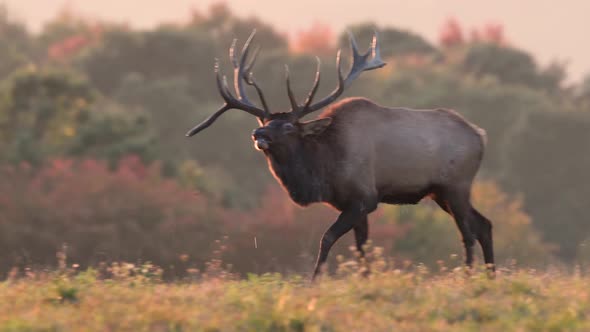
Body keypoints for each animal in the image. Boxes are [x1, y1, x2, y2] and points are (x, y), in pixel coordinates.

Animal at [186, 30, 494, 278]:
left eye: (288, 126)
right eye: (263, 121)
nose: (258, 135)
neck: (324, 171)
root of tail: (480, 135)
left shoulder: (364, 198)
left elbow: (328, 238)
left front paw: (314, 282)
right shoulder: (354, 203)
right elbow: (362, 247)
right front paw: (365, 282)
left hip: (456, 186)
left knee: (468, 232)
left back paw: (469, 277)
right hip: (441, 193)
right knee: (484, 224)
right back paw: (490, 276)